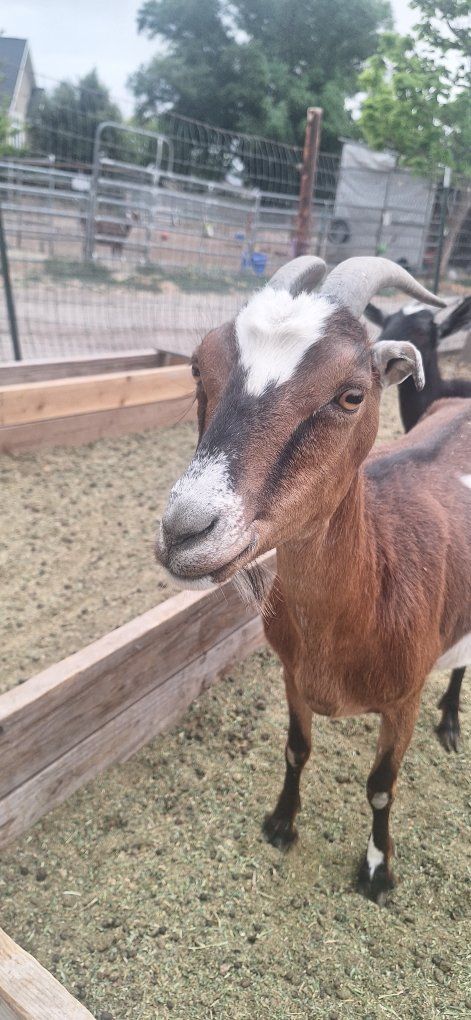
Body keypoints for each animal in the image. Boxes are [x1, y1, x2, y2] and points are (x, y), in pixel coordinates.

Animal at [156, 256, 471, 904]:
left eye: (351, 395)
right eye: (198, 366)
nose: (185, 531)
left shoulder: (403, 700)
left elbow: (381, 785)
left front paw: (377, 872)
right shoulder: (292, 677)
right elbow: (297, 749)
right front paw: (281, 824)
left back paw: (451, 721)